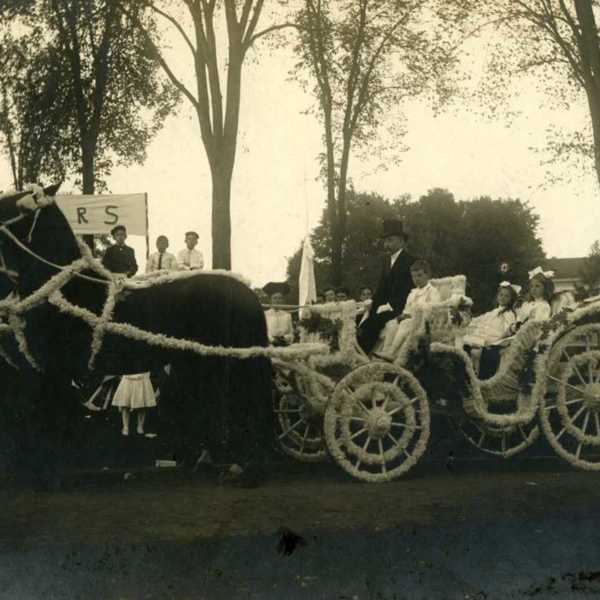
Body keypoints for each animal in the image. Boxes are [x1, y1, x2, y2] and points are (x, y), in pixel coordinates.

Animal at [0, 185, 276, 486]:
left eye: (18, 205)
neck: (64, 288)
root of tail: (246, 291)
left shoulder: (54, 369)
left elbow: (49, 420)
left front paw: (47, 475)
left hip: (235, 359)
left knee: (249, 401)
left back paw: (249, 468)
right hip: (202, 361)